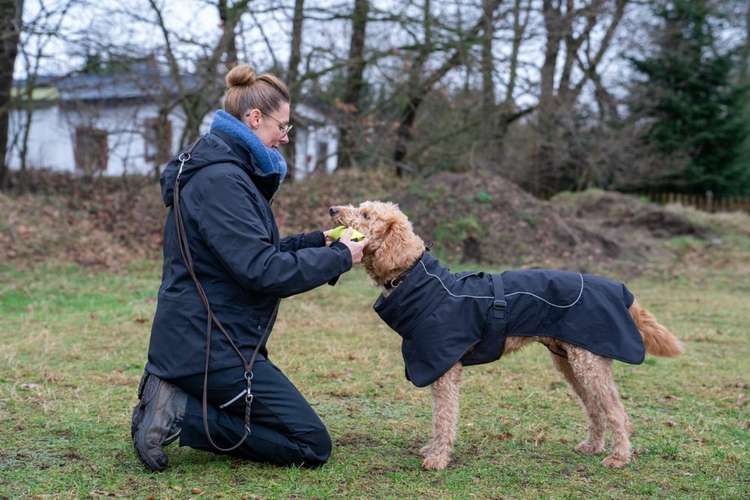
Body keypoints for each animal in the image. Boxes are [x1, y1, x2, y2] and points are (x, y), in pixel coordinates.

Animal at [332, 199, 684, 468]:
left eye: (367, 215)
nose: (333, 209)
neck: (415, 277)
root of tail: (619, 289)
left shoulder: (444, 368)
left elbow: (444, 417)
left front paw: (438, 458)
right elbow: (439, 416)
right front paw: (433, 450)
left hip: (589, 363)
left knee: (617, 412)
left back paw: (619, 457)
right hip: (571, 363)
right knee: (596, 407)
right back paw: (592, 446)